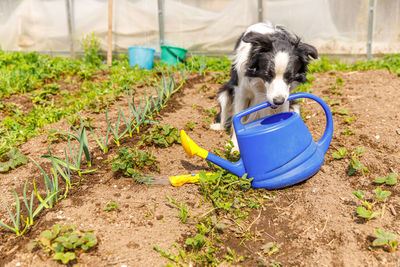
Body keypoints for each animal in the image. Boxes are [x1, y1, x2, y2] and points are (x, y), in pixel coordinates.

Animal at [211, 21, 318, 151]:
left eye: (289, 77)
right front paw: (235, 147)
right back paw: (217, 127)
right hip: (224, 93)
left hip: (295, 105)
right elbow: (238, 117)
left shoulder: (286, 97)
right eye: (267, 74)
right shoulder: (241, 91)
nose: (278, 101)